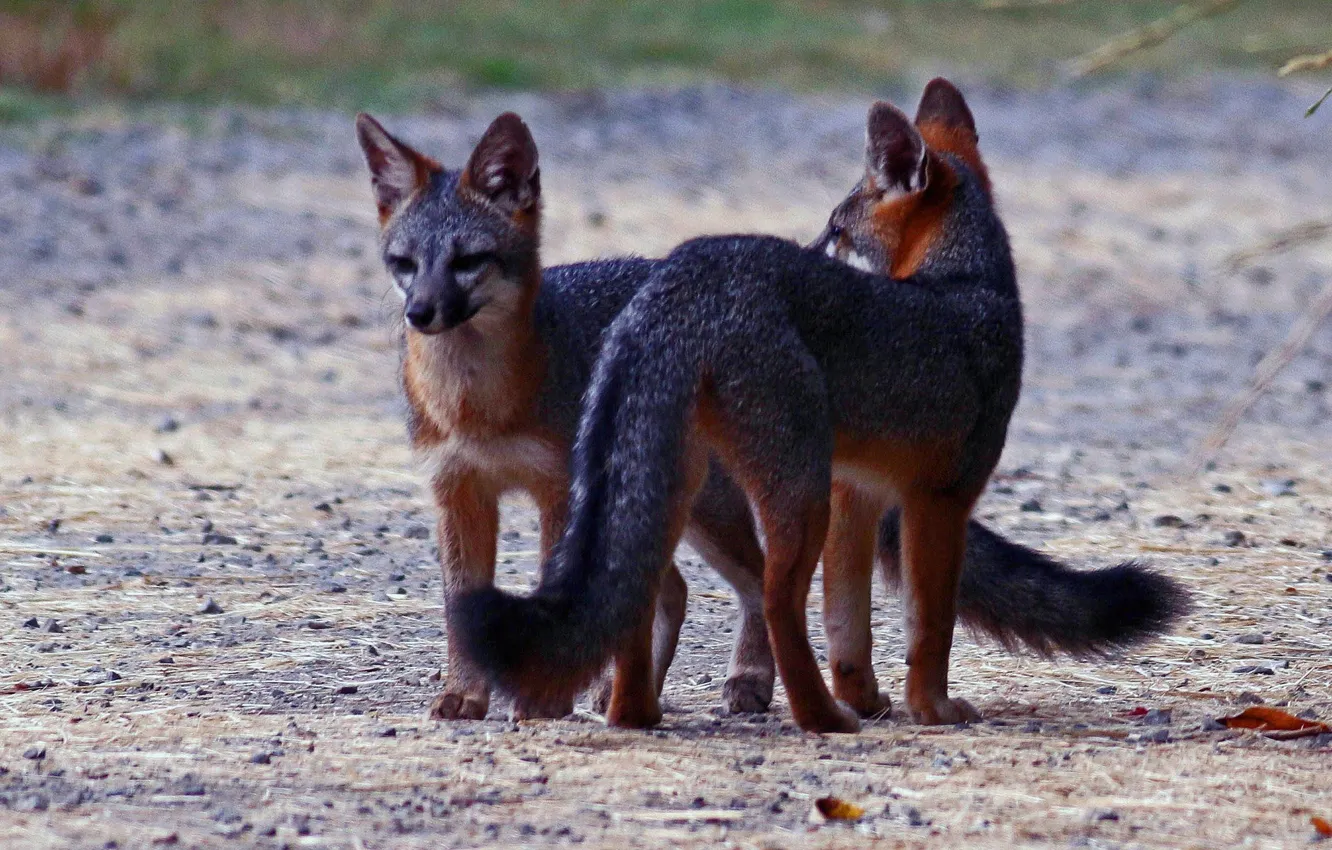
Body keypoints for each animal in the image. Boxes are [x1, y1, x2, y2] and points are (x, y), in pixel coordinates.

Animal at [451, 81, 1190, 732]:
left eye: (836, 232)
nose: (810, 246)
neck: (966, 283)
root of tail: (686, 274)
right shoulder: (937, 501)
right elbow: (931, 626)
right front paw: (931, 708)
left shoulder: (857, 495)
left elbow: (849, 626)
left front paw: (869, 696)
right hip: (792, 492)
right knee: (775, 601)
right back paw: (820, 719)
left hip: (684, 486)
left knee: (645, 594)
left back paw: (637, 713)